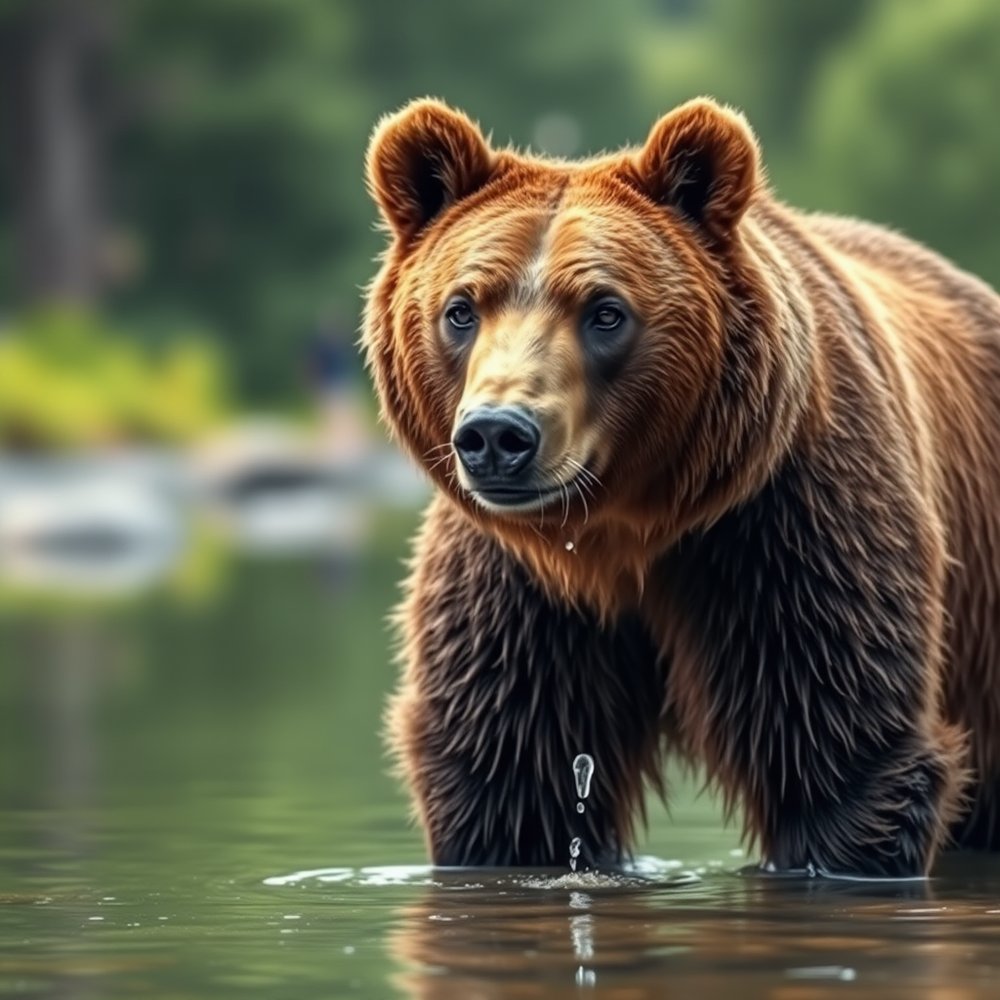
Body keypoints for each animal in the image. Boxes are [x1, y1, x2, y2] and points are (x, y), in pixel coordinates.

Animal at [361, 96, 1000, 876]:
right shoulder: (518, 595)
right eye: (461, 308)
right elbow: (513, 774)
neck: (619, 532)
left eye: (605, 310)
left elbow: (837, 742)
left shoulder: (784, 528)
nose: (498, 435)